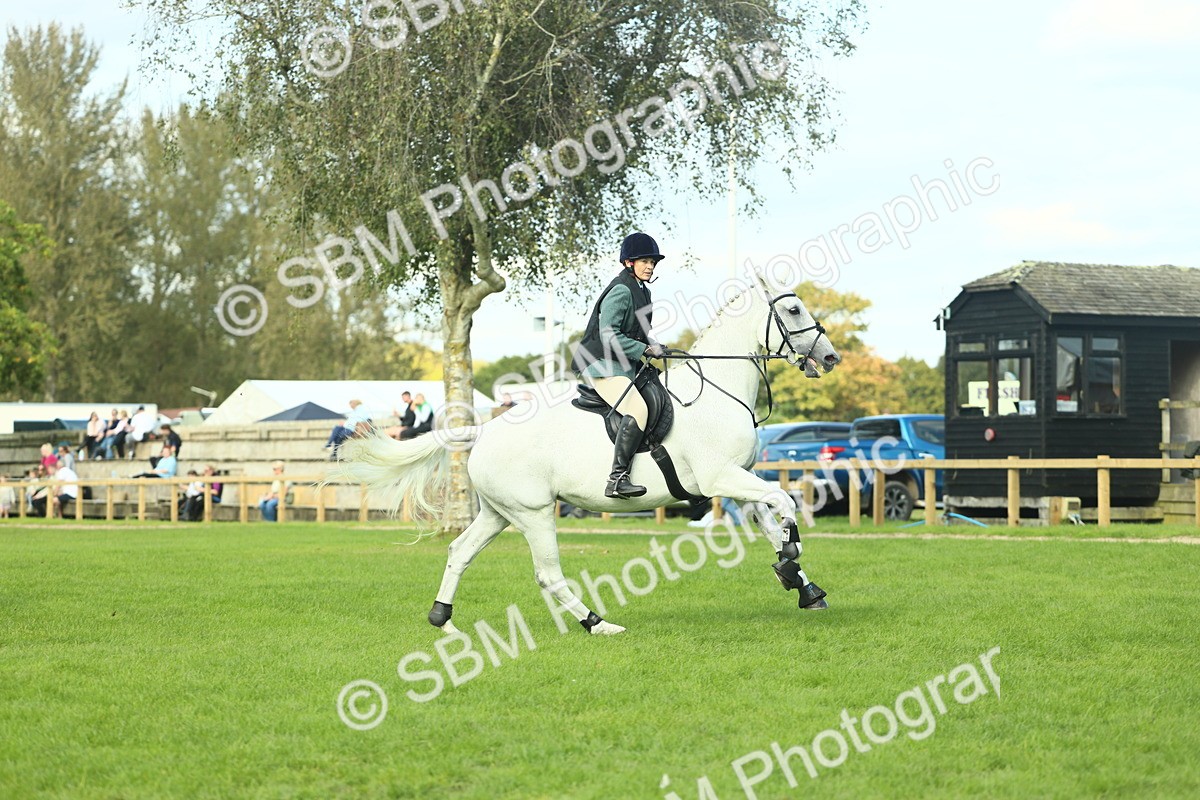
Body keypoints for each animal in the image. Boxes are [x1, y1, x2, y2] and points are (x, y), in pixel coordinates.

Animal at [338, 273, 841, 635]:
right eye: (793, 309)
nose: (831, 358)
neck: (718, 392)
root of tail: (484, 430)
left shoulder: (737, 480)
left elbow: (771, 519)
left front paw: (802, 584)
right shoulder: (722, 477)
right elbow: (785, 504)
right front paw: (791, 556)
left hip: (499, 513)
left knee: (459, 551)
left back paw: (442, 618)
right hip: (534, 513)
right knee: (547, 574)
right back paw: (598, 624)